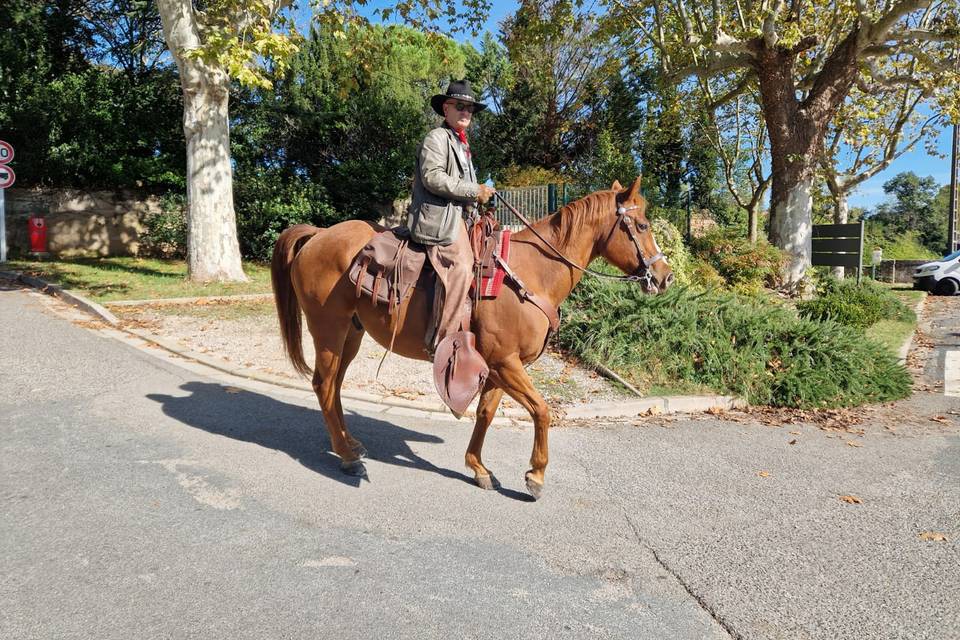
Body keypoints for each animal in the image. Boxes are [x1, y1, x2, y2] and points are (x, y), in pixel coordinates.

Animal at [270, 175, 676, 500]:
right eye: (642, 225)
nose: (665, 276)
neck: (532, 273)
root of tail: (318, 235)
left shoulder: (499, 366)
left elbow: (485, 413)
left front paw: (478, 467)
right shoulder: (506, 363)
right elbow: (542, 410)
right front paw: (535, 475)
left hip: (351, 335)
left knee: (335, 386)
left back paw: (349, 443)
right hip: (329, 330)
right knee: (324, 384)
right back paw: (347, 456)